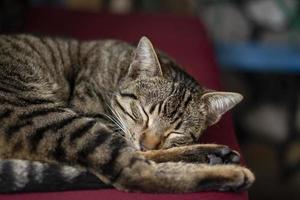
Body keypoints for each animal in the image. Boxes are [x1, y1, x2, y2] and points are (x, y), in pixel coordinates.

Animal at [0, 34, 254, 192]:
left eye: (175, 132)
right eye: (144, 112)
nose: (147, 144)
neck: (118, 73)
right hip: (47, 115)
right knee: (134, 171)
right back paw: (224, 167)